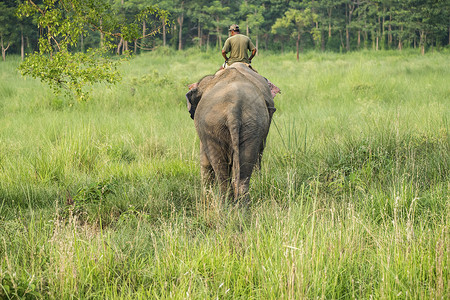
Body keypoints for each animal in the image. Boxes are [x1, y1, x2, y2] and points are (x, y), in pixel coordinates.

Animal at [185, 62, 276, 200]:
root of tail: (233, 108)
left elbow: (205, 162)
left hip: (213, 128)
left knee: (220, 171)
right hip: (252, 125)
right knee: (245, 169)